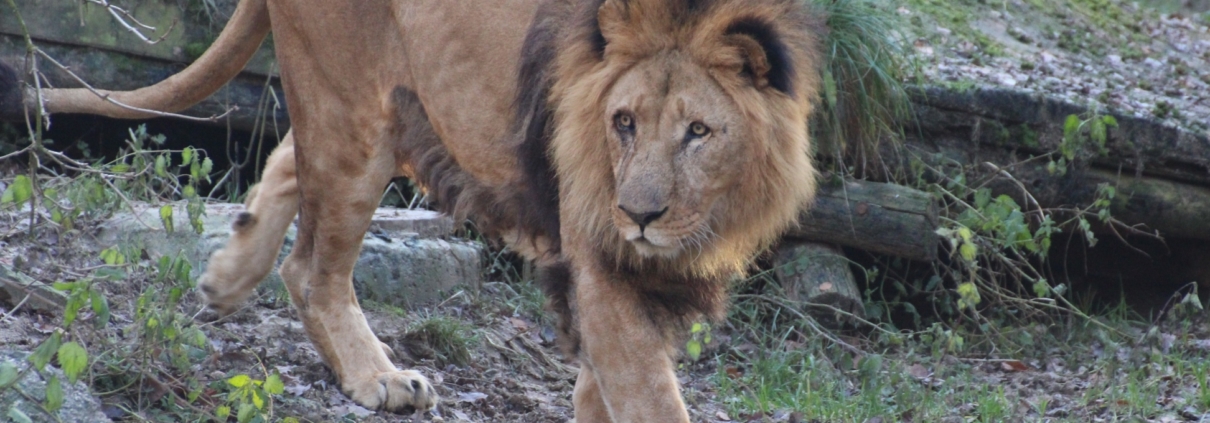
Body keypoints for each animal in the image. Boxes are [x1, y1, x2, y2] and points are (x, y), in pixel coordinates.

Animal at [0, 0, 823, 421]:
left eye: (698, 132)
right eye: (623, 122)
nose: (638, 215)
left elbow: (606, 385)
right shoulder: (599, 254)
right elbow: (649, 393)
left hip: (395, 112)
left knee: (287, 162)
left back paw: (228, 273)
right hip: (355, 111)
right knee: (314, 269)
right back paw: (379, 377)